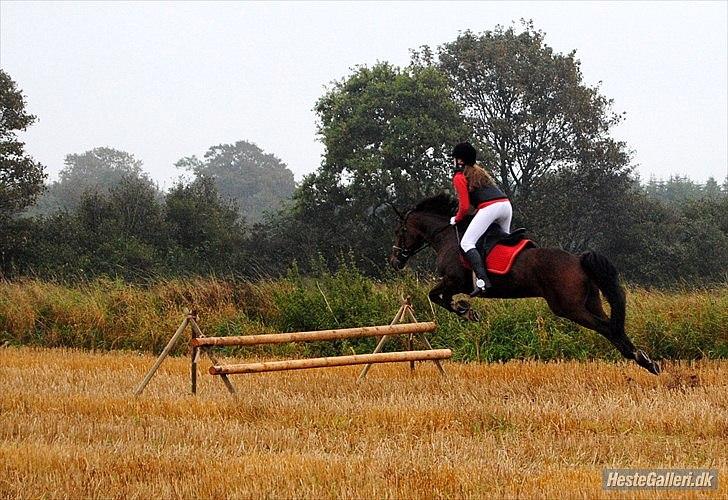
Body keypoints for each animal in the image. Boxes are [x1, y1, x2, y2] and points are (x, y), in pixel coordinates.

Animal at [390, 193, 664, 374]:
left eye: (400, 232)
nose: (395, 261)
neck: (446, 236)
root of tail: (578, 259)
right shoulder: (453, 284)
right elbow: (439, 296)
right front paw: (466, 310)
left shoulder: (454, 281)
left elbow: (436, 295)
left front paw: (466, 311)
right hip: (590, 301)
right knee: (613, 326)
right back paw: (646, 361)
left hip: (569, 307)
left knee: (606, 327)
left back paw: (639, 358)